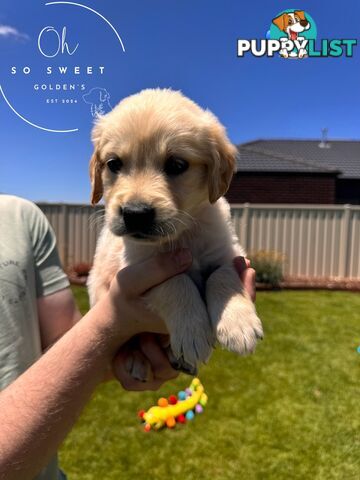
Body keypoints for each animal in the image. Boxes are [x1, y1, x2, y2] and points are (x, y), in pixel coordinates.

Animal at [87, 88, 262, 376]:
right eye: (114, 164)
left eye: (177, 165)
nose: (135, 213)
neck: (182, 235)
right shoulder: (138, 268)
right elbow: (176, 282)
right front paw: (192, 333)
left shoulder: (230, 252)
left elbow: (221, 276)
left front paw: (239, 325)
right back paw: (136, 361)